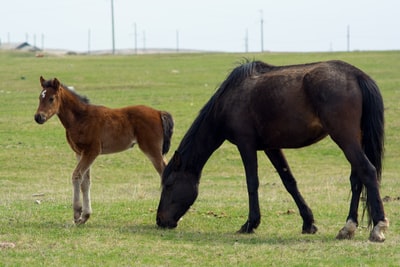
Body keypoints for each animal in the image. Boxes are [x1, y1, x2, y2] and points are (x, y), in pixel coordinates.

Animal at [36, 77, 174, 226]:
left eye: (51, 98)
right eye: (39, 97)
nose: (38, 117)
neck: (80, 118)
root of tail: (159, 112)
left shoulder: (92, 151)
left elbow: (76, 175)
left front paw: (77, 214)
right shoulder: (80, 153)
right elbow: (85, 182)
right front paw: (85, 216)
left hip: (151, 149)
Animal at [158, 60, 390, 243]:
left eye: (169, 185)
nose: (160, 220)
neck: (228, 100)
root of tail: (357, 75)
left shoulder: (246, 144)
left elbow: (252, 182)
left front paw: (250, 224)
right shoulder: (271, 147)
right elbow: (289, 182)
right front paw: (308, 222)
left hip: (345, 137)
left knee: (367, 171)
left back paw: (378, 227)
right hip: (354, 139)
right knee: (356, 178)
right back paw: (348, 228)